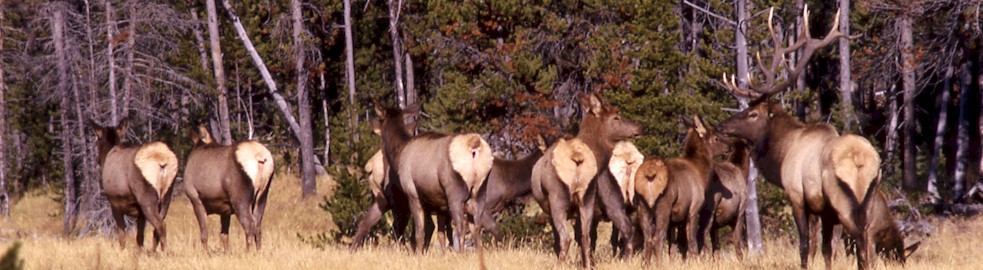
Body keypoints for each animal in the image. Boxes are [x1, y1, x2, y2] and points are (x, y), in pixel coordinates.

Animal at [90, 119, 179, 251]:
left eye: (97, 142)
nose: (97, 159)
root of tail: (162, 160)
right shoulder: (139, 212)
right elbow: (140, 236)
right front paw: (138, 252)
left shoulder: (115, 204)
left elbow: (122, 235)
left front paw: (121, 251)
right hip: (167, 195)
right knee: (159, 227)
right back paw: (154, 251)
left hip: (146, 198)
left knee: (160, 225)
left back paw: (164, 252)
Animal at [370, 104, 496, 253]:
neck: (399, 154)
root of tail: (474, 145)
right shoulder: (439, 203)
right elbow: (440, 233)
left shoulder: (413, 194)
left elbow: (419, 233)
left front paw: (418, 254)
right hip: (481, 189)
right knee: (476, 226)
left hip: (455, 192)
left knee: (461, 226)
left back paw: (461, 254)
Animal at [648, 114, 728, 262]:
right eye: (716, 138)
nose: (729, 146)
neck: (702, 174)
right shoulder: (693, 209)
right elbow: (692, 243)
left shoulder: (675, 220)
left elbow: (674, 247)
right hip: (663, 208)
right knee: (657, 239)